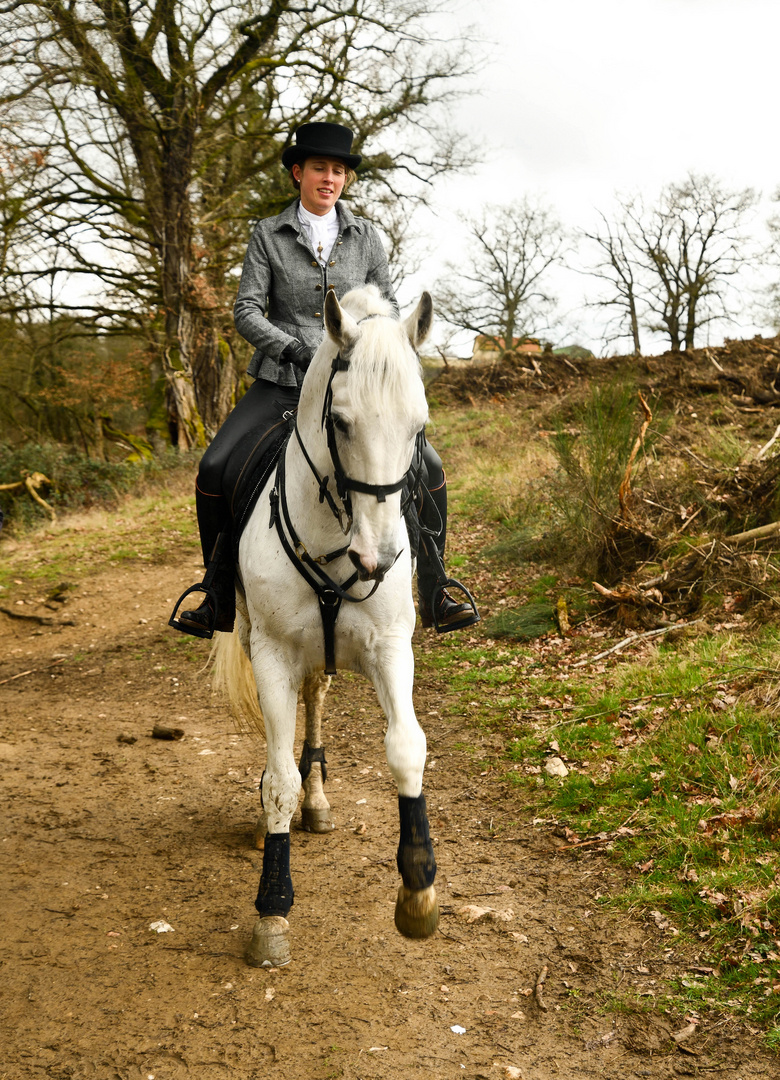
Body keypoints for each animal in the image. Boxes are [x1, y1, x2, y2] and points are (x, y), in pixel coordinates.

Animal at [212, 282, 436, 967]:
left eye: (419, 427)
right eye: (340, 422)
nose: (378, 559)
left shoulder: (391, 648)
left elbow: (406, 748)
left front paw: (418, 890)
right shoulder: (273, 655)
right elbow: (278, 781)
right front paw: (272, 908)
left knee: (316, 700)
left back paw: (318, 799)